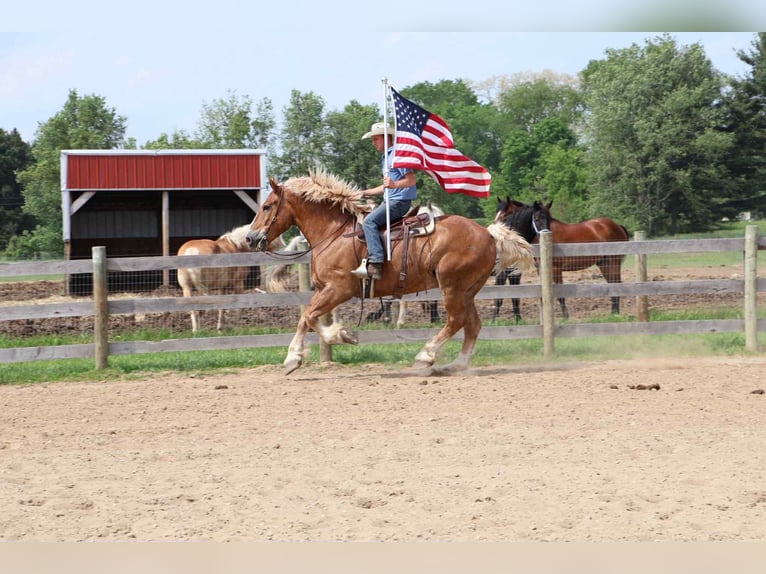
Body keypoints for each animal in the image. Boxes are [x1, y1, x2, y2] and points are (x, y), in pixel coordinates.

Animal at [246, 170, 533, 375]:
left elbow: (308, 316)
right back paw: (456, 365)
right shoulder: (325, 289)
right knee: (472, 324)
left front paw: (309, 350)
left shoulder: (339, 288)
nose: (249, 238)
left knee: (456, 320)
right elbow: (308, 317)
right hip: (467, 290)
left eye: (267, 206)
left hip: (453, 287)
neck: (335, 234)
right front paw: (326, 341)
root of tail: (487, 232)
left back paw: (425, 356)